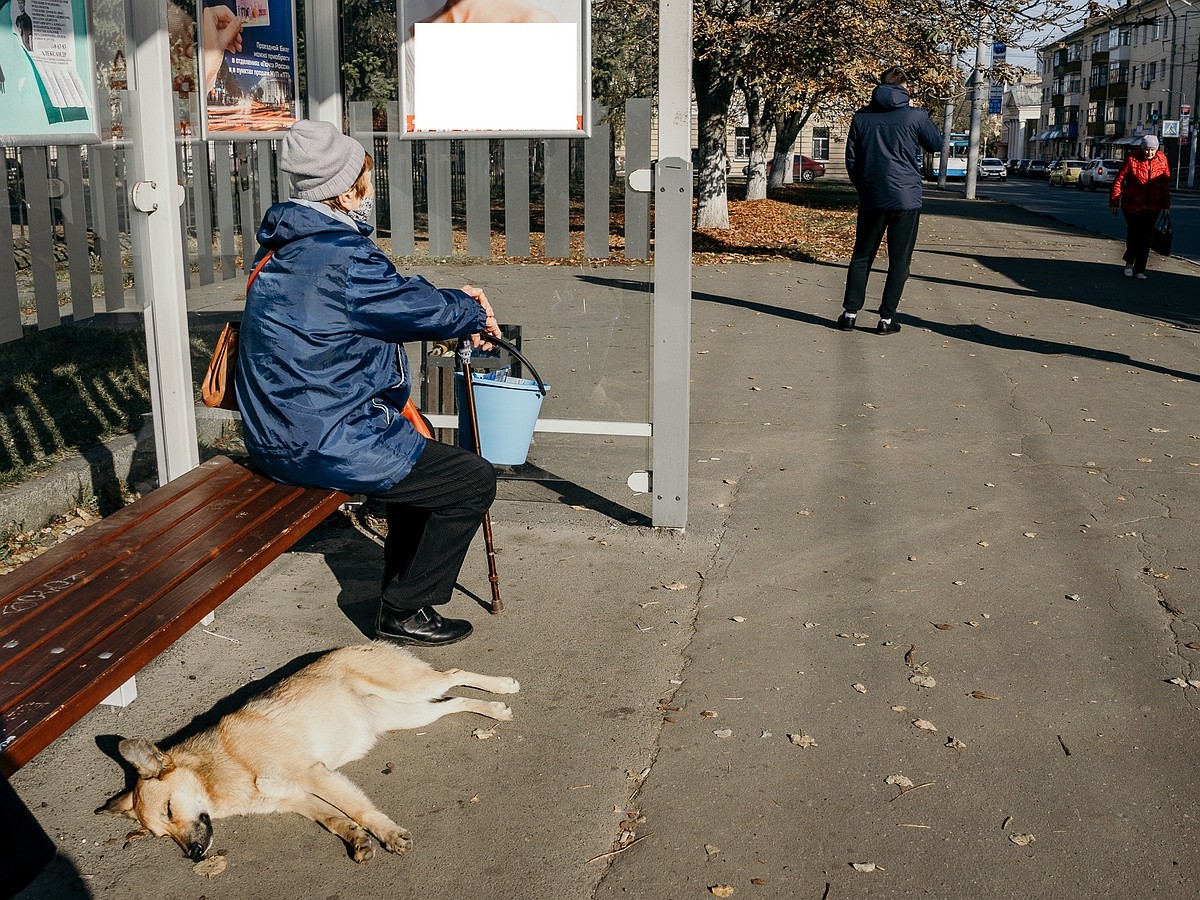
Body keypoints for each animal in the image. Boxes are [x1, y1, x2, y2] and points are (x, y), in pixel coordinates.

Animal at [97, 643, 516, 864]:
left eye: (169, 810)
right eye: (161, 833)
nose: (196, 854)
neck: (224, 769)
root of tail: (356, 644)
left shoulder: (313, 774)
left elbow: (359, 809)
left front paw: (386, 833)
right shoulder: (297, 798)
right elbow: (334, 819)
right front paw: (356, 839)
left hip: (412, 689)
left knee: (455, 674)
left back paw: (502, 686)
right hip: (408, 714)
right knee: (453, 702)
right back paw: (493, 710)